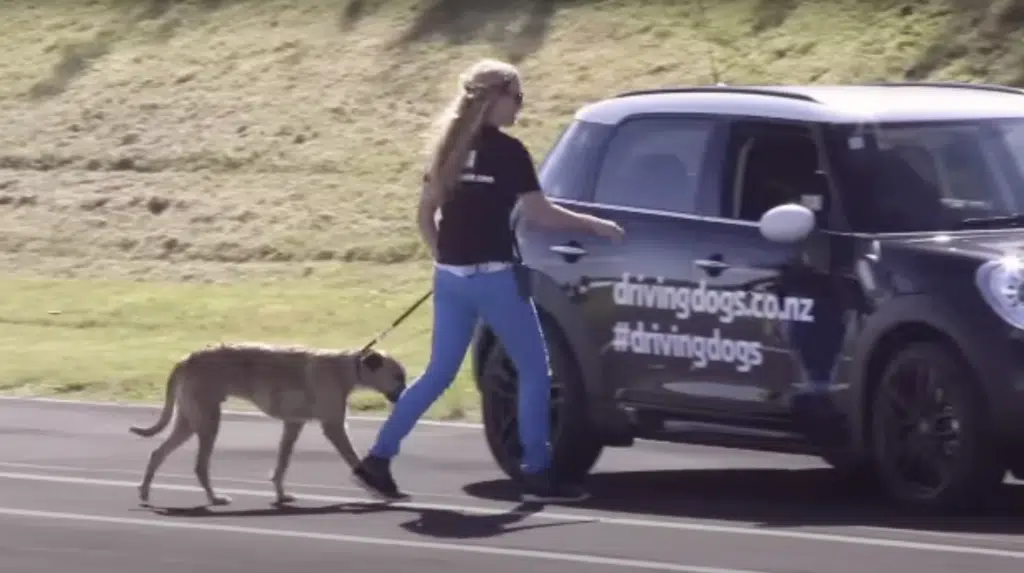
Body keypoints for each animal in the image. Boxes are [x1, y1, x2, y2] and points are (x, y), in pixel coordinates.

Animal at [124, 339, 403, 505]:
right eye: (398, 376)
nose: (404, 395)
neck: (348, 368)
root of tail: (186, 359)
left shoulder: (293, 425)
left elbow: (282, 463)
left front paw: (280, 494)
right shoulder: (333, 427)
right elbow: (354, 459)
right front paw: (376, 488)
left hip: (189, 421)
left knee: (158, 452)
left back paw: (145, 491)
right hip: (208, 421)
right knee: (200, 466)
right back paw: (213, 498)